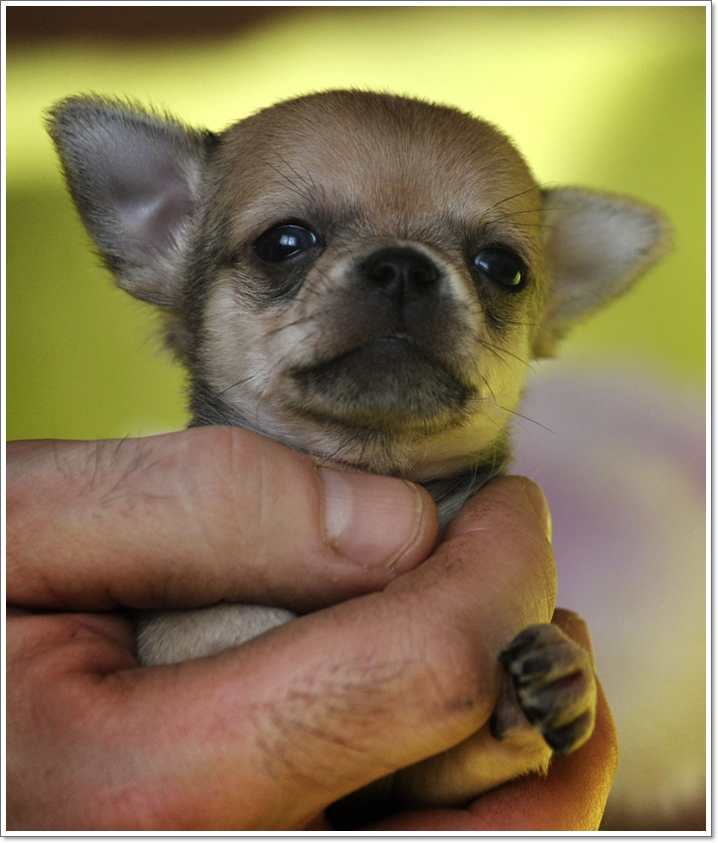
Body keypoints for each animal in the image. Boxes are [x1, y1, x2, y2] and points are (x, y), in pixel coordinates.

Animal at [47, 92, 672, 824]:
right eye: (284, 242)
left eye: (503, 267)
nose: (403, 264)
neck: (367, 466)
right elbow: (207, 624)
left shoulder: (437, 781)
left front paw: (558, 678)